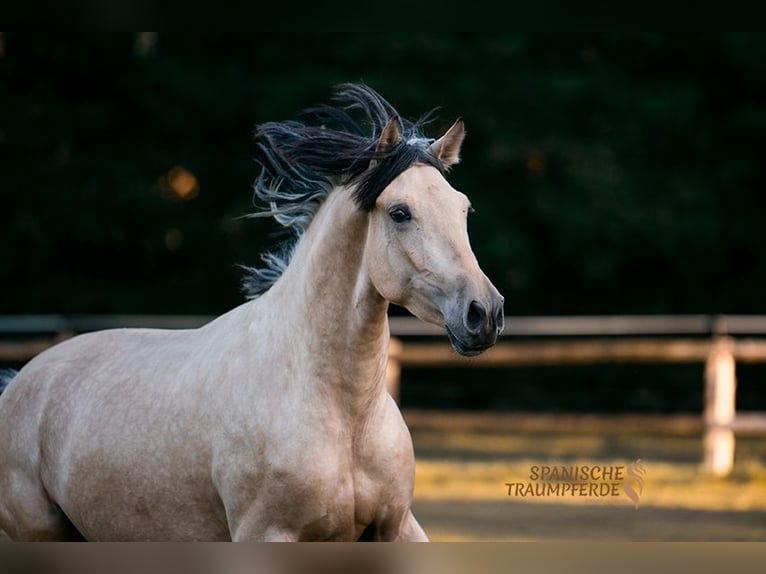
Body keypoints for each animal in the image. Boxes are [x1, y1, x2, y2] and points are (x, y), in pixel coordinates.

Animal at [0, 84, 504, 541]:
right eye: (400, 212)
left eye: (463, 208)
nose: (484, 313)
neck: (347, 420)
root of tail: (18, 382)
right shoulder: (266, 534)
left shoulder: (396, 527)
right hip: (41, 533)